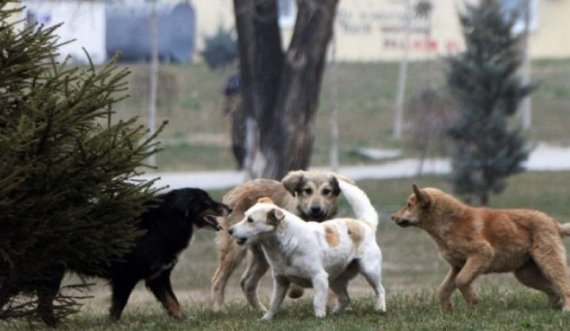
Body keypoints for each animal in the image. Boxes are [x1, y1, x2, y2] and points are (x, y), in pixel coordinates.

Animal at [32, 189, 229, 326]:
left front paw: (183, 320)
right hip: (51, 273)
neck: (164, 222)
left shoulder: (158, 277)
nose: (229, 208)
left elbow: (173, 302)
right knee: (43, 305)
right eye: (206, 201)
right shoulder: (125, 277)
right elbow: (118, 306)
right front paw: (111, 324)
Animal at [209, 170, 342, 312]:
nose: (315, 209)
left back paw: (260, 310)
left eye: (326, 191)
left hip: (261, 257)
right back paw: (219, 309)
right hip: (235, 251)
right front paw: (295, 291)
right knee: (218, 280)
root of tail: (234, 190)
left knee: (246, 282)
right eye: (307, 190)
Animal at [229, 180, 384, 320]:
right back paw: (335, 313)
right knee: (345, 299)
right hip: (335, 280)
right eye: (244, 216)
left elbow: (317, 302)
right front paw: (266, 319)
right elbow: (274, 303)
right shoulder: (281, 281)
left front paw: (319, 318)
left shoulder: (319, 278)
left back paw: (380, 308)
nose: (230, 230)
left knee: (380, 290)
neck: (286, 244)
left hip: (369, 270)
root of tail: (365, 224)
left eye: (250, 220)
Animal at [388, 185, 568, 312]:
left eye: (409, 205)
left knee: (564, 285)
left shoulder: (482, 253)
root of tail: (554, 223)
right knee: (553, 289)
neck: (450, 222)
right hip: (525, 274)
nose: (392, 217)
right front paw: (448, 310)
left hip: (548, 261)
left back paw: (566, 309)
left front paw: (472, 302)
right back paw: (552, 307)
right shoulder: (457, 266)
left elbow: (461, 281)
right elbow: (443, 290)